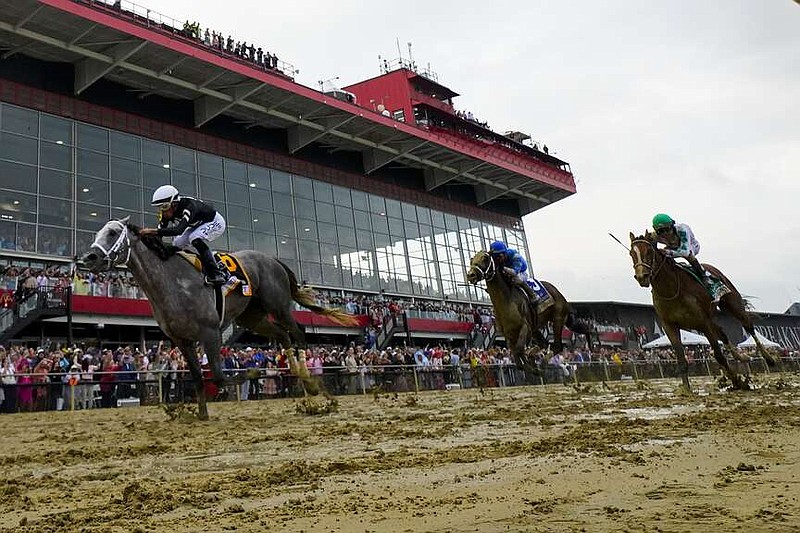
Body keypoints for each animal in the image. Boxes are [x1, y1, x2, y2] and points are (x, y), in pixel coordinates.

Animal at [79, 218, 358, 418]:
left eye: (112, 232)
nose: (88, 257)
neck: (173, 283)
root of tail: (273, 259)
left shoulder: (210, 332)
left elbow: (219, 375)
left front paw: (252, 373)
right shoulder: (182, 341)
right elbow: (198, 376)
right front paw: (201, 414)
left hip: (277, 306)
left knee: (297, 330)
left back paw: (309, 381)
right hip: (251, 318)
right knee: (281, 334)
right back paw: (300, 375)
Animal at [628, 230, 780, 390]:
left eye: (649, 251)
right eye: (632, 253)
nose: (642, 276)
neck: (670, 289)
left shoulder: (703, 322)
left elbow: (719, 356)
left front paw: (737, 381)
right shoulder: (670, 325)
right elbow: (682, 361)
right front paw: (686, 390)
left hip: (732, 304)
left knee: (748, 326)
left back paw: (769, 359)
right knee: (723, 334)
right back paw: (742, 356)